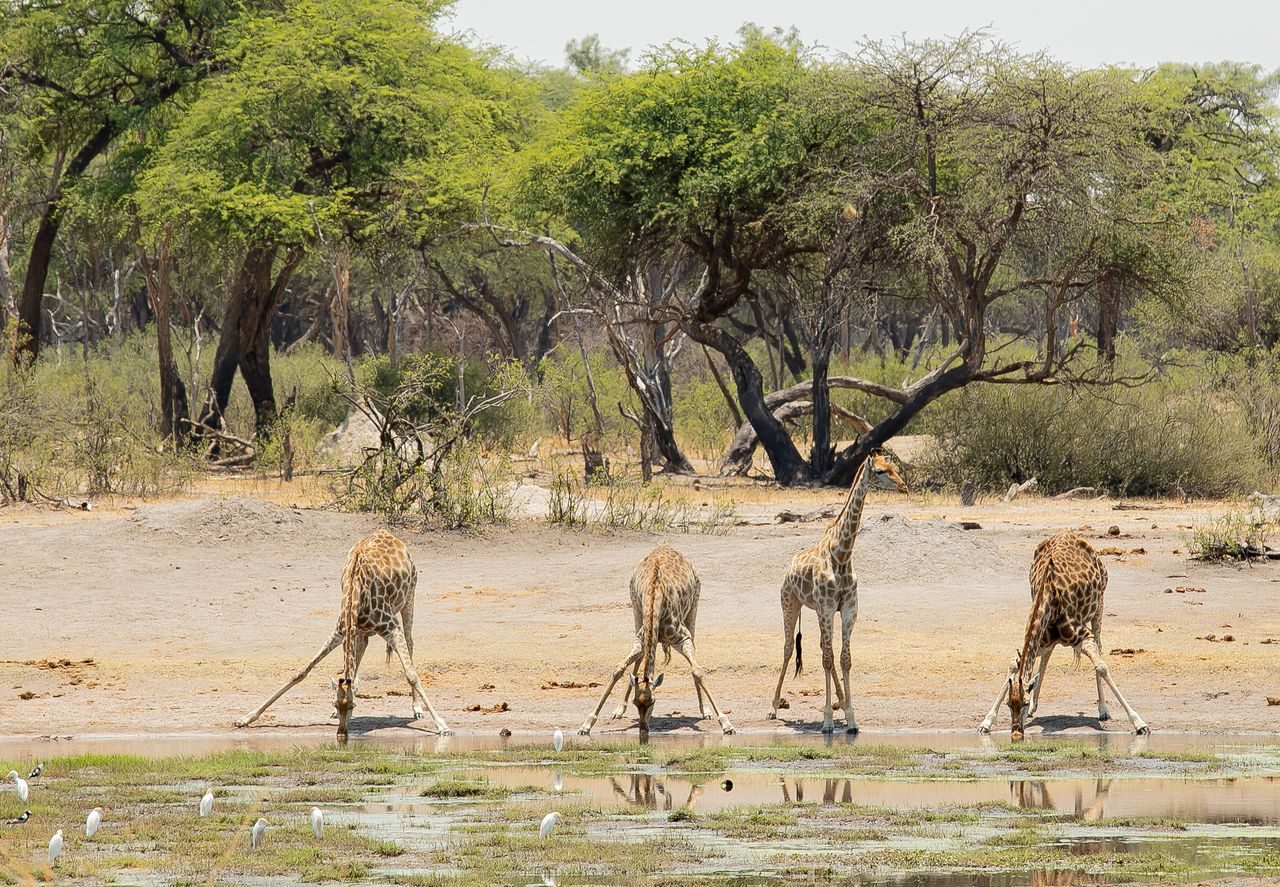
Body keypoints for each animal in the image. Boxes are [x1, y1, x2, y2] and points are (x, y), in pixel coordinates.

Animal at [235, 528, 451, 737]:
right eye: (336, 704)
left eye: (353, 705)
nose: (341, 735)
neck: (356, 593)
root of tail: (390, 534)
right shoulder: (340, 630)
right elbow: (302, 671)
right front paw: (246, 718)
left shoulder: (391, 628)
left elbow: (411, 674)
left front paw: (442, 725)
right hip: (360, 630)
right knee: (362, 649)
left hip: (409, 598)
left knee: (410, 642)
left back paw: (417, 708)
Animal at [578, 543, 734, 737]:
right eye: (636, 703)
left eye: (653, 702)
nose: (643, 729)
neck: (655, 602)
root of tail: (667, 544)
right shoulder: (641, 638)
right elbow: (619, 668)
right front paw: (586, 723)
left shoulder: (683, 638)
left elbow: (697, 670)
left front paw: (726, 723)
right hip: (636, 610)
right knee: (638, 661)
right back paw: (619, 710)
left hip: (694, 606)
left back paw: (705, 711)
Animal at [767, 452, 907, 734]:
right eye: (880, 471)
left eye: (894, 467)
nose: (903, 487)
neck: (842, 554)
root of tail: (788, 568)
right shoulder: (827, 607)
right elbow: (828, 659)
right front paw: (827, 721)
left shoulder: (848, 609)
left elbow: (843, 659)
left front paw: (851, 717)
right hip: (790, 603)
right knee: (789, 648)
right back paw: (774, 707)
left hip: (818, 611)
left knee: (823, 648)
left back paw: (840, 702)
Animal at [979, 531, 1149, 739]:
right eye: (1009, 704)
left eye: (1023, 703)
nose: (1016, 733)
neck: (1049, 598)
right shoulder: (1043, 638)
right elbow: (1014, 664)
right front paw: (986, 722)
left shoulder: (1084, 637)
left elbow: (1101, 666)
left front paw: (1140, 723)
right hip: (1051, 639)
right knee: (1047, 655)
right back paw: (1037, 705)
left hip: (1099, 606)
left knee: (1100, 649)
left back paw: (1103, 710)